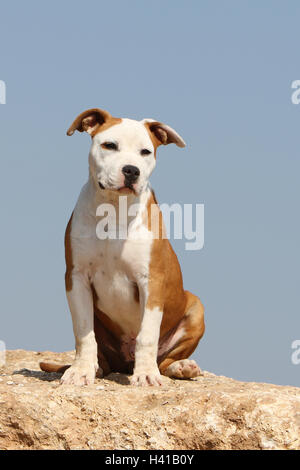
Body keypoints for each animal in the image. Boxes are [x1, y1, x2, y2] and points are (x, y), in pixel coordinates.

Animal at [40, 107, 204, 386]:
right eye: (110, 145)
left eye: (145, 152)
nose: (131, 170)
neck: (114, 209)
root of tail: (125, 363)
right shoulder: (76, 277)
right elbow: (83, 333)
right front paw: (81, 370)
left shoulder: (152, 280)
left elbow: (147, 335)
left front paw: (147, 374)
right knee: (103, 356)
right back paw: (96, 368)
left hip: (197, 307)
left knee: (165, 360)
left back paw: (181, 366)